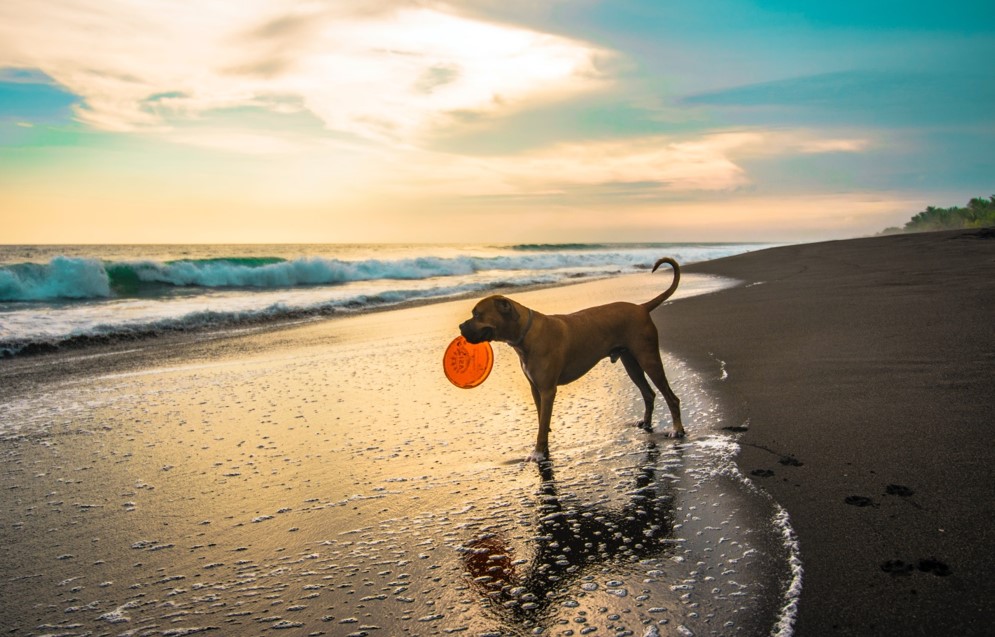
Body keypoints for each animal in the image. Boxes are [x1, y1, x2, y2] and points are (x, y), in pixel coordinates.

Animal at [462, 256, 684, 460]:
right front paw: (544, 445)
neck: (526, 333)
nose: (460, 327)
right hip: (631, 363)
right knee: (649, 393)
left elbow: (542, 424)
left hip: (648, 358)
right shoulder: (536, 389)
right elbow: (542, 419)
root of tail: (641, 307)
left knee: (671, 397)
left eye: (477, 314)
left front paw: (538, 452)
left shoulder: (547, 390)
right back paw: (646, 422)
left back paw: (677, 429)